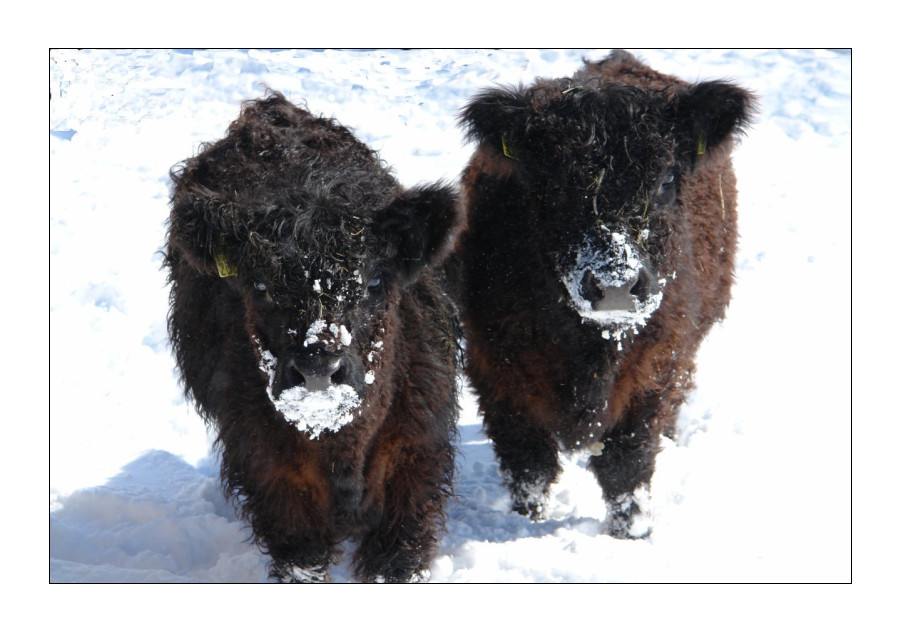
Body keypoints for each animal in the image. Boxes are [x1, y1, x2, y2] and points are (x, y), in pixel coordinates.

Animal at [165, 91, 464, 580]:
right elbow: (303, 560)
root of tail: (265, 109)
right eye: (260, 286)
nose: (318, 367)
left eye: (374, 282)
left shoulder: (417, 459)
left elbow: (395, 558)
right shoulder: (271, 475)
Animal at [454, 49, 756, 536]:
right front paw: (526, 524)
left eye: (666, 180)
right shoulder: (495, 370)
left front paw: (630, 533)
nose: (616, 284)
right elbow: (529, 465)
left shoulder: (656, 370)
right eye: (555, 185)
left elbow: (626, 466)